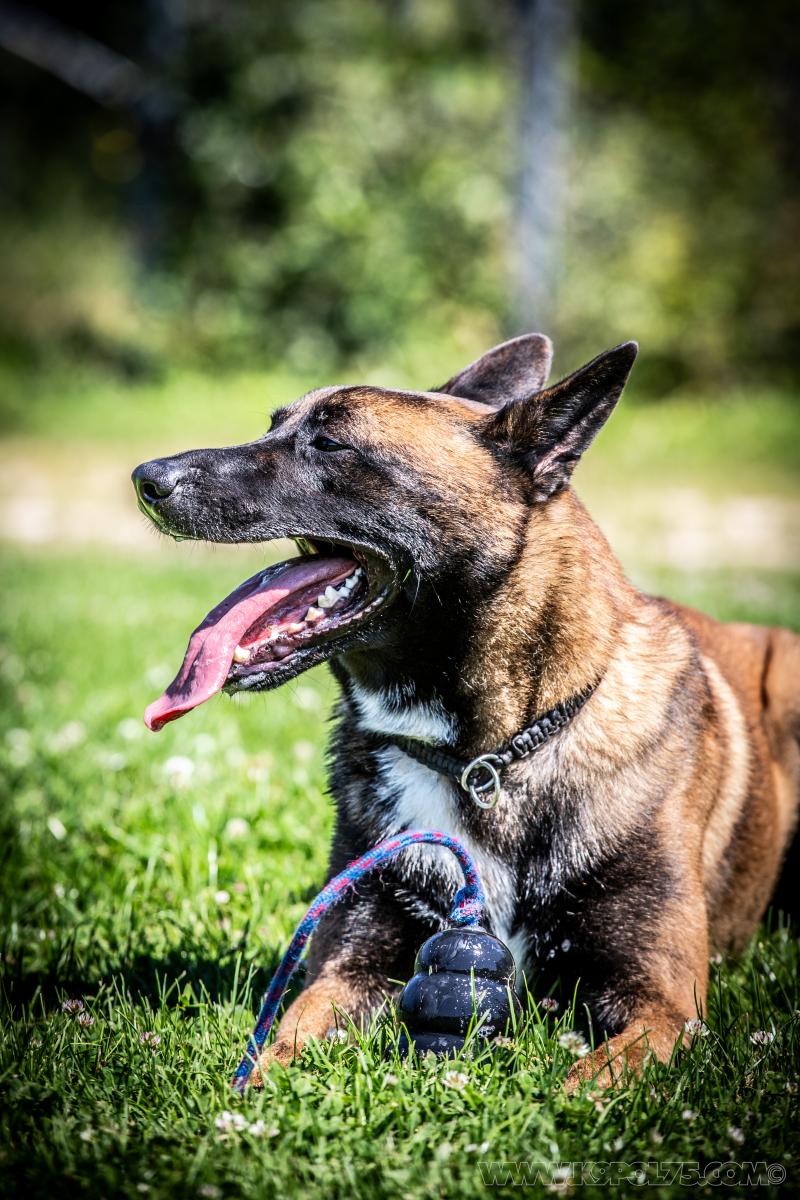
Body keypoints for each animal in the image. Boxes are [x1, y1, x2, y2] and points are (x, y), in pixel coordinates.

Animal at [133, 334, 800, 1088]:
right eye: (273, 425)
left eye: (330, 442)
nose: (147, 478)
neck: (487, 757)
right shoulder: (346, 969)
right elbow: (279, 1051)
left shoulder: (662, 1005)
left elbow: (586, 1087)